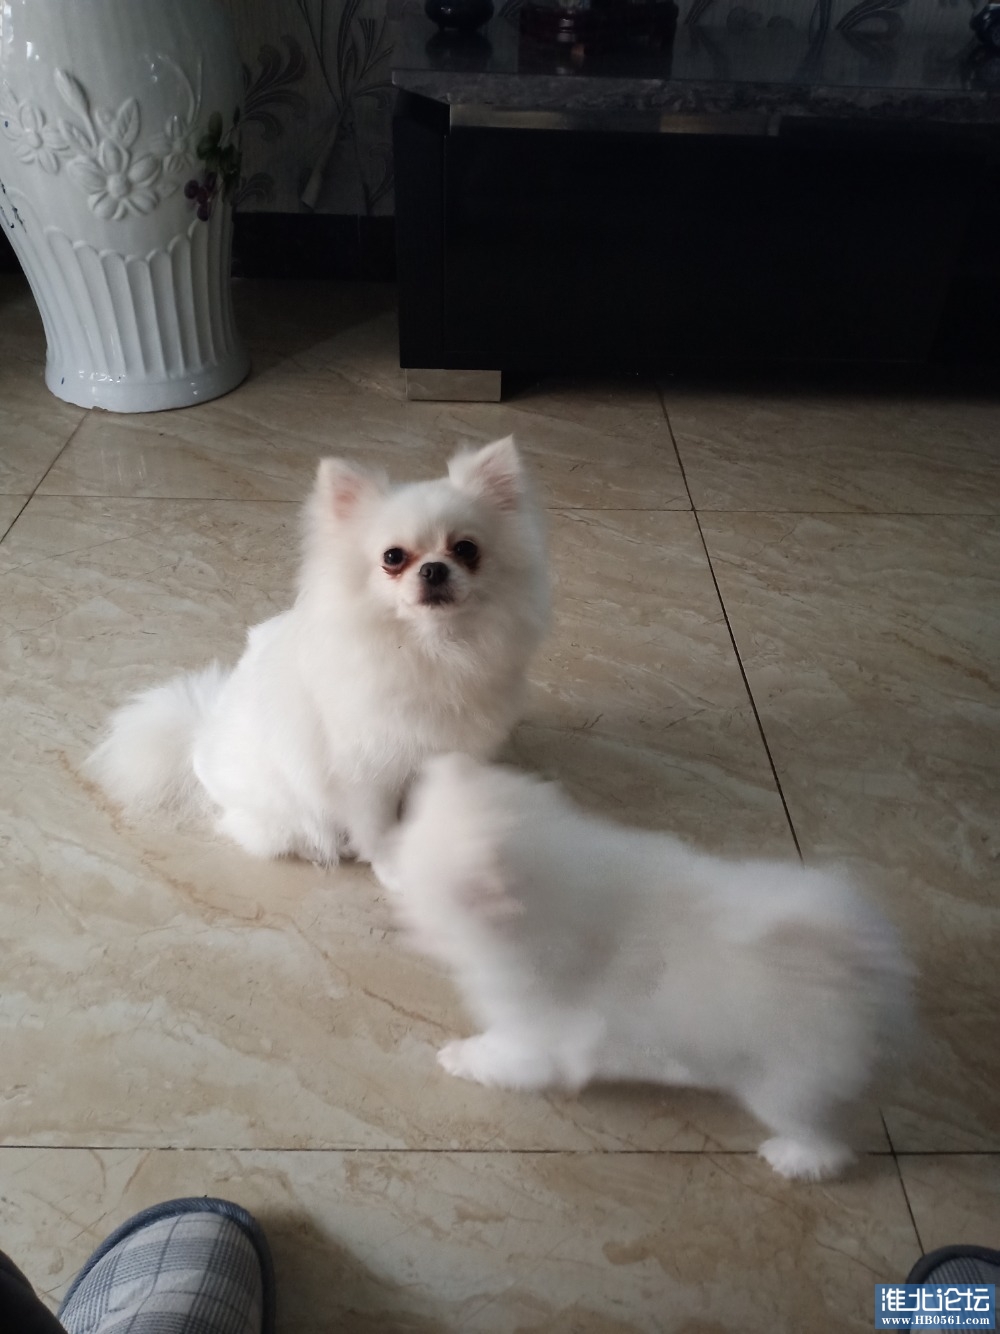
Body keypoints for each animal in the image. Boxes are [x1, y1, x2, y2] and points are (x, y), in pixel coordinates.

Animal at [88, 437, 550, 867]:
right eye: (393, 557)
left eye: (466, 549)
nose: (434, 568)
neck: (433, 647)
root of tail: (200, 732)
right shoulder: (367, 772)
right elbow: (378, 829)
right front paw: (392, 867)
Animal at [386, 753, 914, 1180]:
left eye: (425, 907)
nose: (401, 920)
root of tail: (853, 966)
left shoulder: (532, 1035)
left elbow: (498, 1056)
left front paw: (459, 1056)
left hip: (783, 1084)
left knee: (826, 1144)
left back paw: (793, 1158)